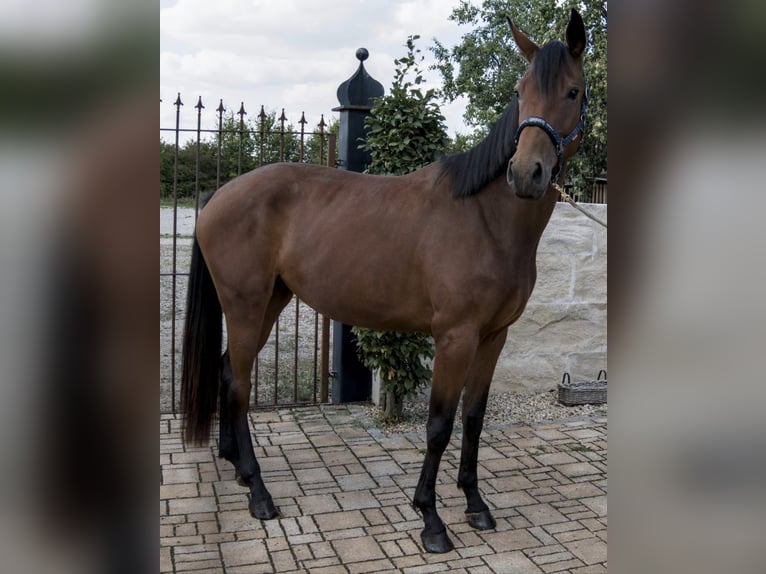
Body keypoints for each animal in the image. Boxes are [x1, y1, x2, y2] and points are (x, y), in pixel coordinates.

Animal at [181, 8, 589, 554]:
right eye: (521, 91)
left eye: (572, 91)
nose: (526, 174)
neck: (487, 218)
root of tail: (220, 194)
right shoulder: (455, 338)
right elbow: (439, 425)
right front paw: (431, 520)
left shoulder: (493, 337)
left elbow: (474, 418)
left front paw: (475, 505)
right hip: (245, 305)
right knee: (240, 384)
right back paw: (260, 495)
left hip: (270, 301)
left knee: (229, 372)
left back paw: (239, 469)